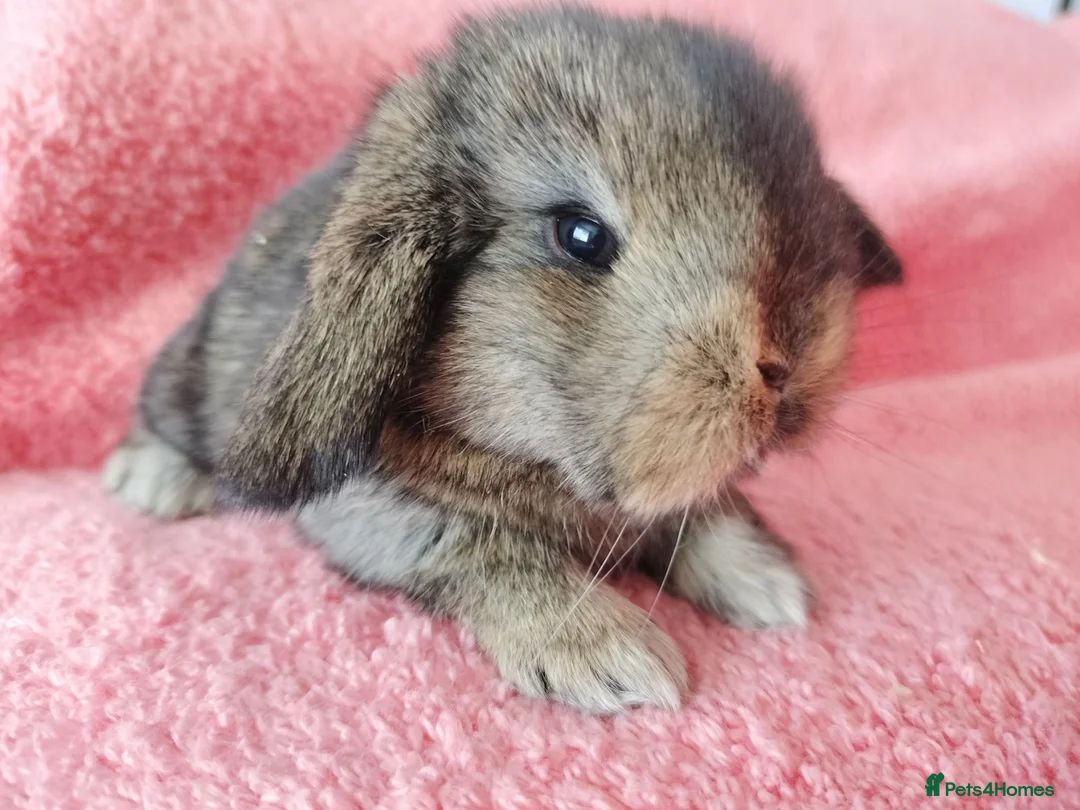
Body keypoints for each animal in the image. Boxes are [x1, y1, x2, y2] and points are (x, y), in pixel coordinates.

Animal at [103, 4, 902, 714]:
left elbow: (704, 513)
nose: (785, 365)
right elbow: (494, 552)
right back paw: (154, 482)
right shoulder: (376, 508)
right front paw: (616, 660)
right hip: (187, 375)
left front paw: (769, 585)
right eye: (580, 235)